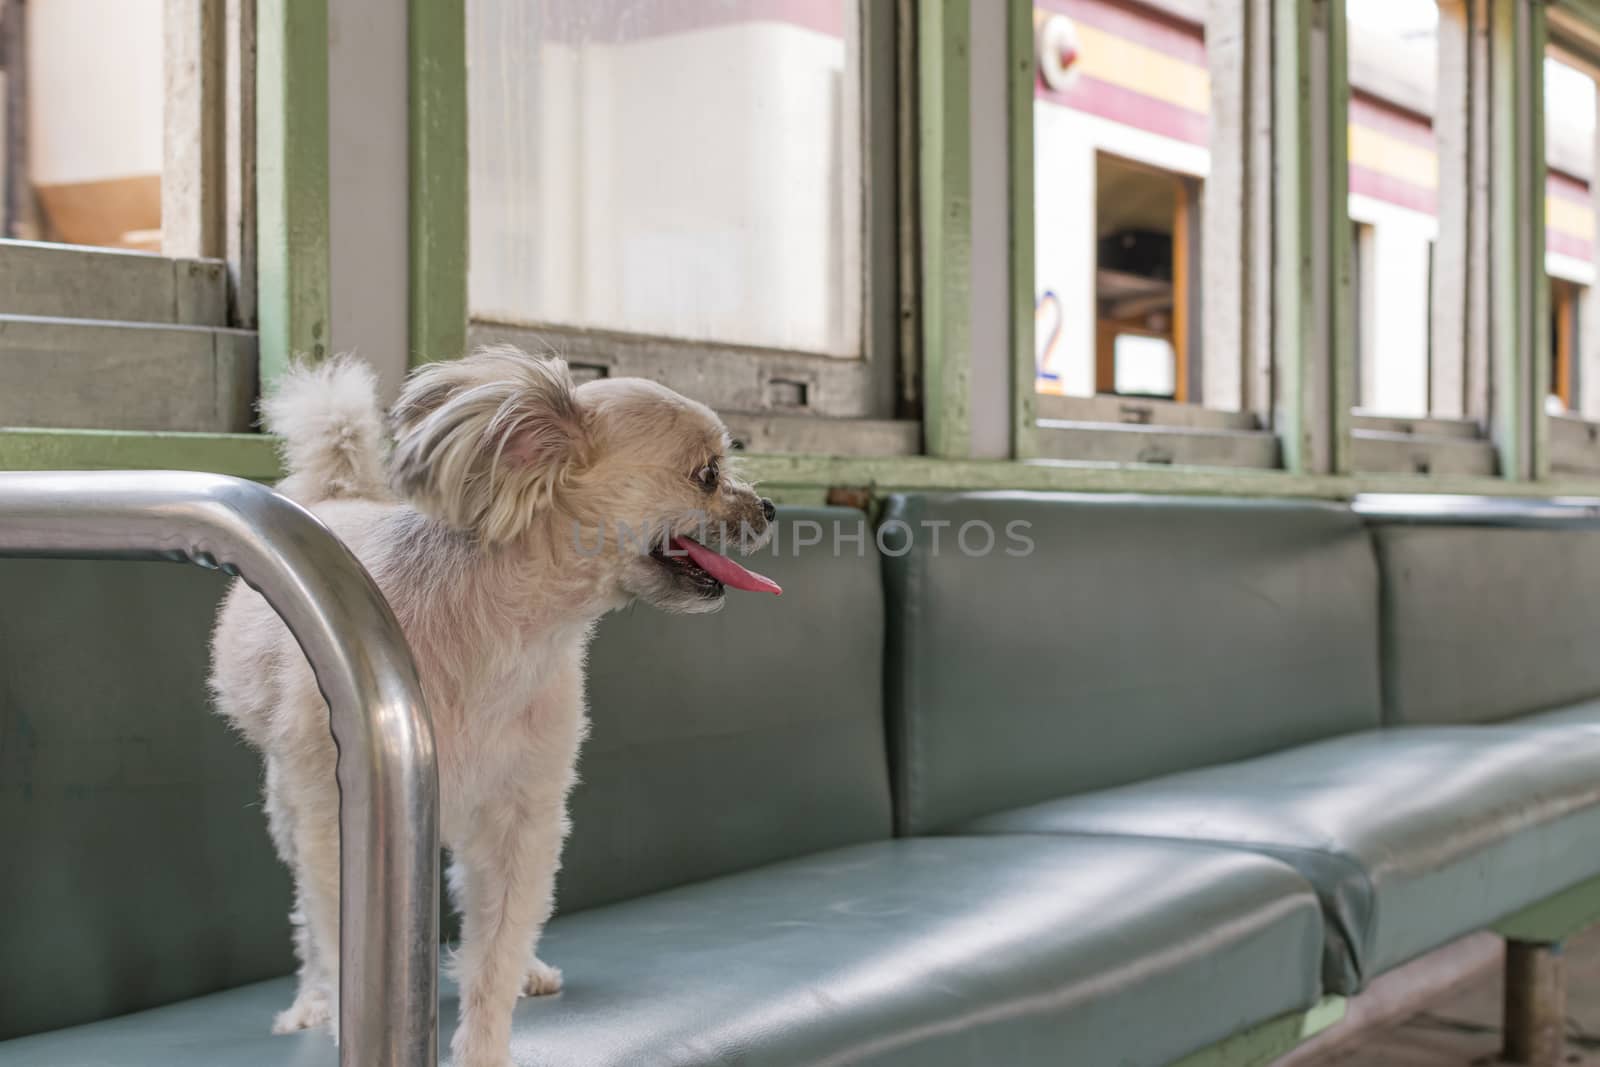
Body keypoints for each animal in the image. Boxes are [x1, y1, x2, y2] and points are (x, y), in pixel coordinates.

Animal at [209, 347, 784, 1062]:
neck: (510, 638)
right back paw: (309, 1000)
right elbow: (339, 941)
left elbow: (496, 953)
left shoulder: (522, 821)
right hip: (291, 807)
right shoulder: (337, 831)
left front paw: (483, 1044)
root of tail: (336, 498)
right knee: (307, 923)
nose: (770, 506)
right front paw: (341, 1010)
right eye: (706, 475)